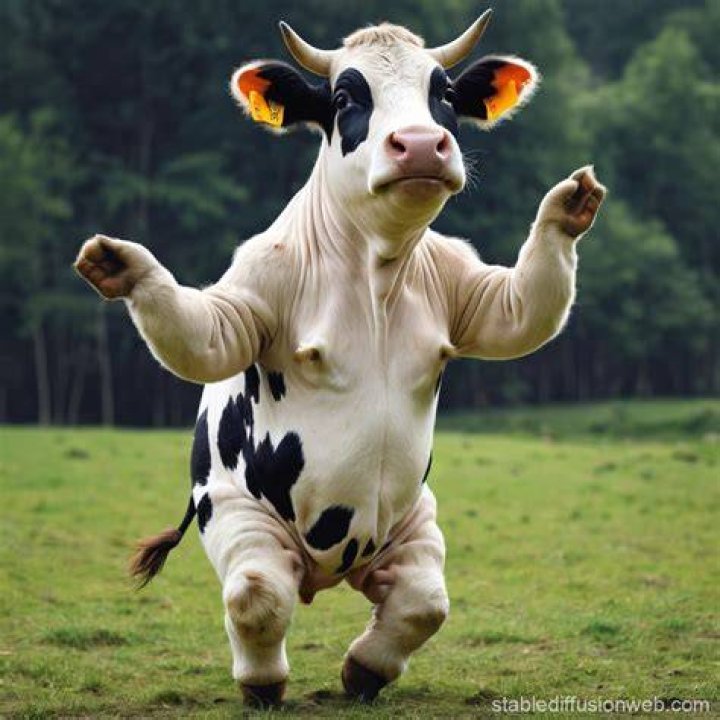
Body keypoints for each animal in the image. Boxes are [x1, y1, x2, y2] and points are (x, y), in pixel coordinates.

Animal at [75, 11, 606, 708]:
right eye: (346, 98)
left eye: (442, 92)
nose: (420, 145)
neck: (373, 271)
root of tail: (323, 571)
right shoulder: (248, 295)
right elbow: (202, 335)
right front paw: (124, 265)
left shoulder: (476, 294)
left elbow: (525, 312)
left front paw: (568, 207)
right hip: (233, 511)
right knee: (258, 592)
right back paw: (263, 676)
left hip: (410, 521)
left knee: (420, 599)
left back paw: (365, 667)